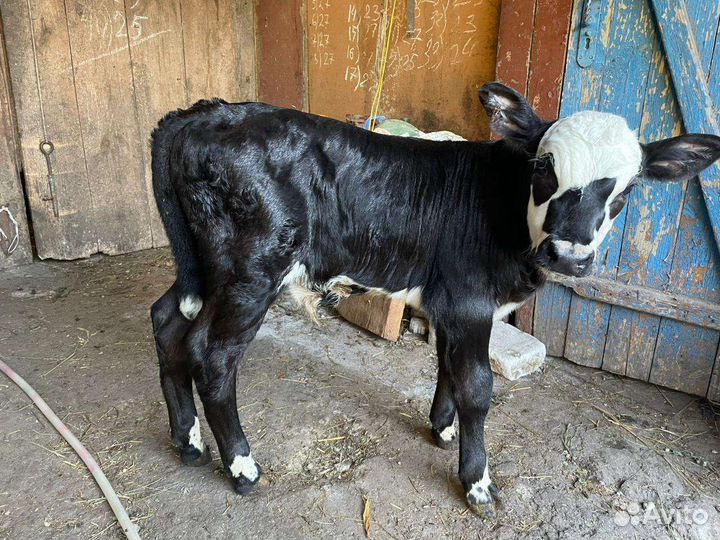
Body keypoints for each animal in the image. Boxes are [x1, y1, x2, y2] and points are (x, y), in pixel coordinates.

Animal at [149, 82, 720, 516]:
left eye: (625, 192)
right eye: (544, 169)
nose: (568, 254)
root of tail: (203, 113)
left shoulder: (450, 302)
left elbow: (447, 365)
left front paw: (442, 428)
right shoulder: (469, 301)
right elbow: (477, 386)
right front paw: (477, 481)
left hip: (204, 269)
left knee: (168, 322)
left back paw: (189, 442)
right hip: (251, 271)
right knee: (214, 356)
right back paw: (242, 466)